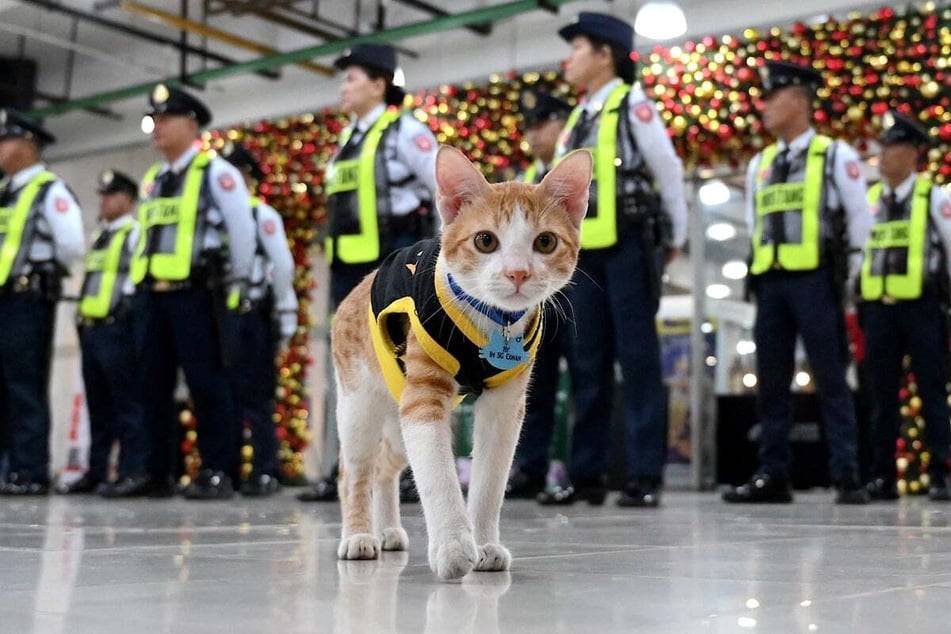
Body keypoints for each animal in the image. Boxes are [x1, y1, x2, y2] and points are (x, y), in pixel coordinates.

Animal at [330, 146, 592, 580]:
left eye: (545, 242)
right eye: (485, 241)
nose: (517, 272)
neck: (494, 321)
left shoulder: (504, 406)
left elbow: (490, 480)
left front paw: (484, 544)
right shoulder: (422, 399)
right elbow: (437, 474)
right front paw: (453, 546)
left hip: (397, 415)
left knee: (384, 466)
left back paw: (387, 530)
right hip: (358, 404)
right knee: (354, 471)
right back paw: (359, 536)